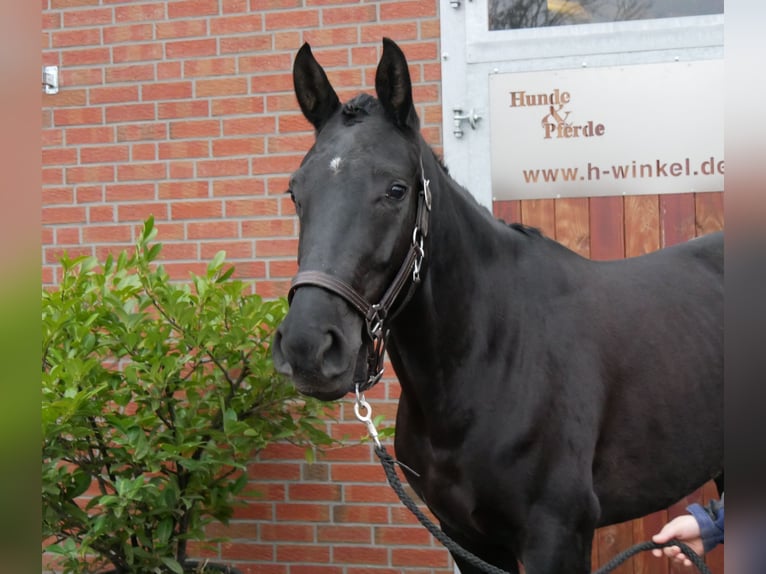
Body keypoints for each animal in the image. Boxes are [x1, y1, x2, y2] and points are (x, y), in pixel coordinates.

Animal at [272, 38, 728, 572]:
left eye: (396, 190)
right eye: (295, 192)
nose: (308, 346)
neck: (491, 359)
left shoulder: (558, 536)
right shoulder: (465, 537)